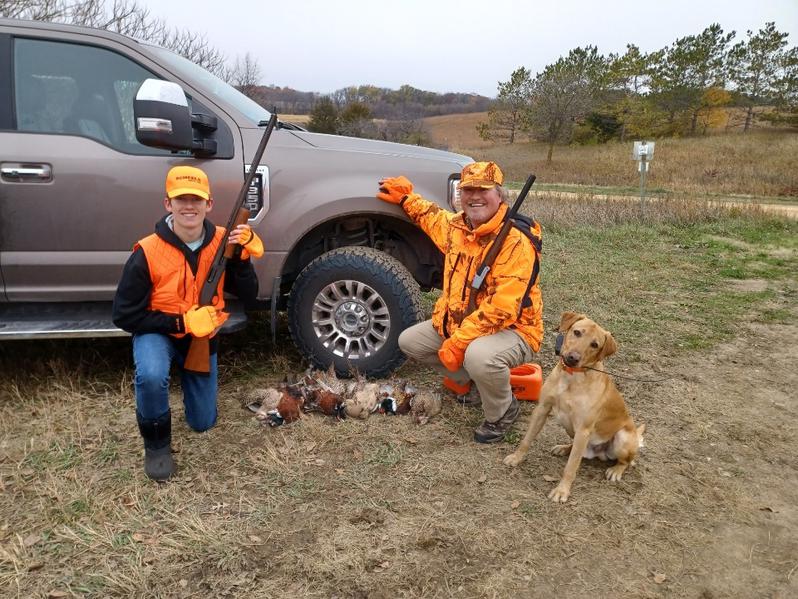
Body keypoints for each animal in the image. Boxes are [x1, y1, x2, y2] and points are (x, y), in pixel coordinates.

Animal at [510, 312, 648, 504]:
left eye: (595, 344)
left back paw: (616, 470)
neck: (571, 378)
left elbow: (571, 466)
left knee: (626, 461)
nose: (573, 358)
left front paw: (562, 491)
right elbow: (526, 439)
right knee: (576, 449)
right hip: (570, 428)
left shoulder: (583, 429)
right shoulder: (542, 409)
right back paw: (564, 448)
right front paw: (516, 458)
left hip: (622, 438)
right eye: (577, 332)